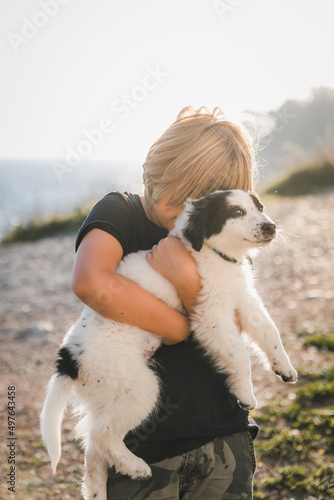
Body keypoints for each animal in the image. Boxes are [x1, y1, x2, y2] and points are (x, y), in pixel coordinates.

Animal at [39, 189, 298, 500]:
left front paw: (284, 367)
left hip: (107, 394)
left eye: (259, 207)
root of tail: (68, 359)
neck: (214, 255)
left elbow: (270, 331)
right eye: (236, 212)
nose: (271, 226)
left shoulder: (243, 299)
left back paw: (97, 489)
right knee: (101, 435)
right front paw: (246, 394)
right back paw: (136, 467)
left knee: (93, 448)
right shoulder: (210, 315)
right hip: (138, 387)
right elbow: (240, 354)